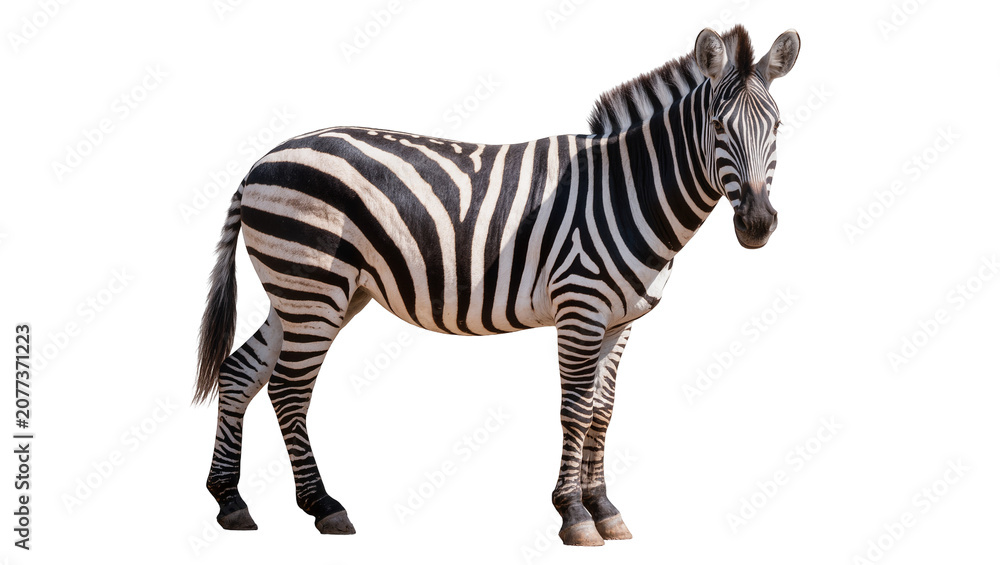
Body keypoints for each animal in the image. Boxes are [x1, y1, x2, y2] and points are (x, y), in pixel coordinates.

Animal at [194, 24, 800, 546]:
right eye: (718, 127)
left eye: (777, 129)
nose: (757, 225)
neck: (628, 189)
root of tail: (261, 161)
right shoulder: (580, 307)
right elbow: (576, 409)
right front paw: (574, 515)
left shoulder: (621, 320)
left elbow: (603, 411)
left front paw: (605, 509)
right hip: (314, 282)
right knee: (288, 388)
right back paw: (324, 506)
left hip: (311, 291)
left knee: (242, 371)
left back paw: (231, 502)